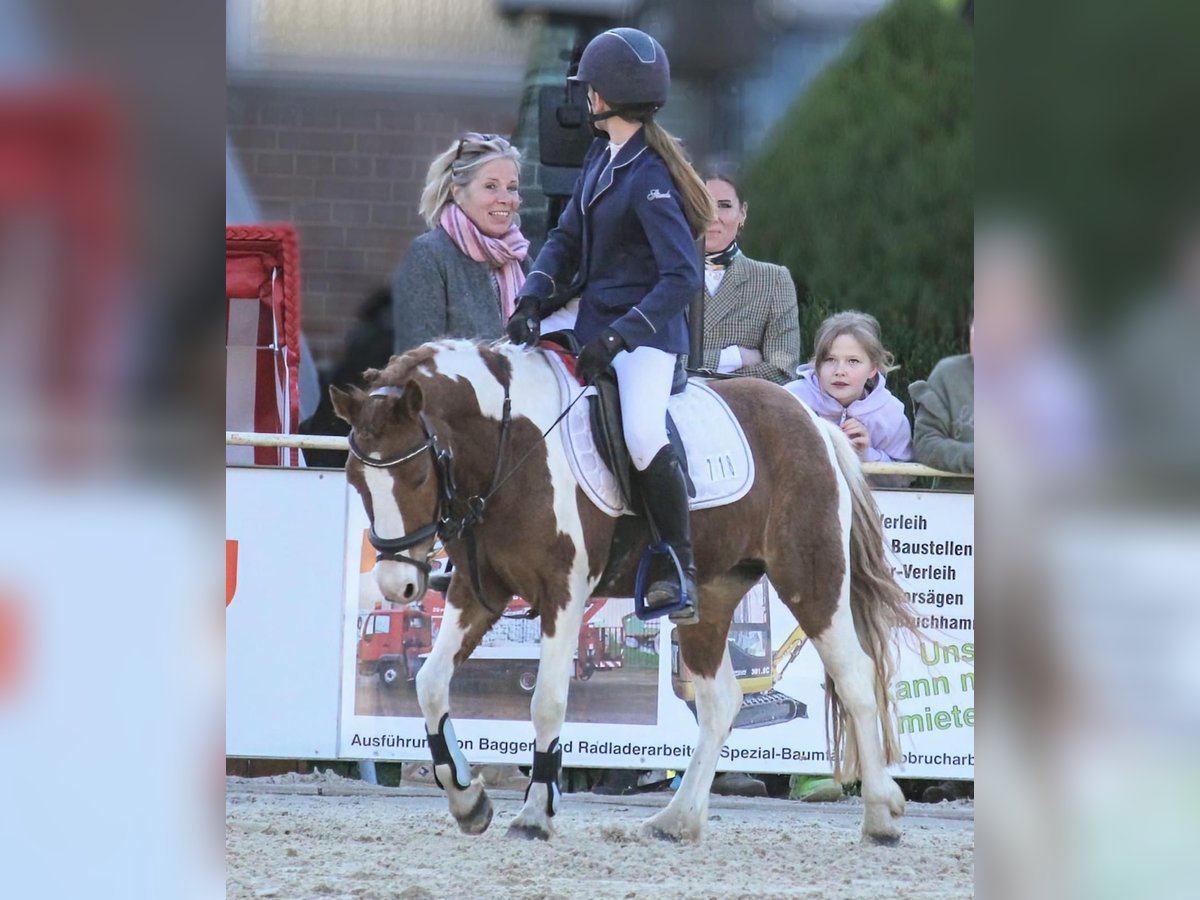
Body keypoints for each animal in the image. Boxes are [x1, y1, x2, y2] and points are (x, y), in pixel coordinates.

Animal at [330, 338, 914, 845]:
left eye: (416, 479)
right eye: (355, 480)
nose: (398, 584)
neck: (511, 444)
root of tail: (813, 421)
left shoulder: (562, 593)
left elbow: (547, 701)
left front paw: (535, 814)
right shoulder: (478, 591)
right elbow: (430, 682)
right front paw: (468, 801)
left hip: (811, 577)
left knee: (856, 679)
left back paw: (881, 817)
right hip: (712, 595)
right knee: (721, 702)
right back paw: (676, 821)